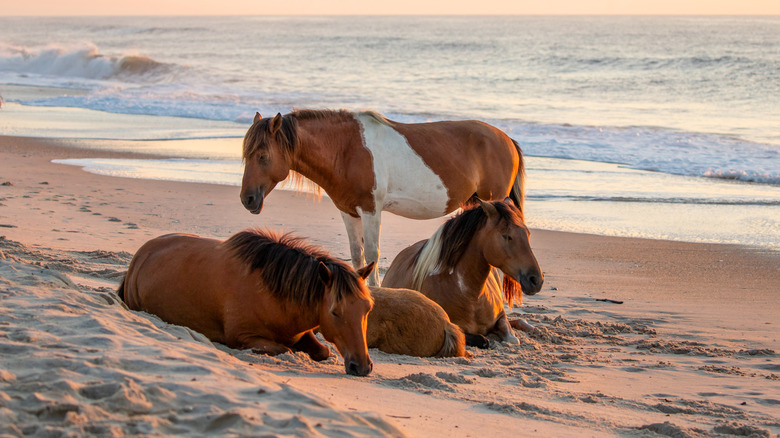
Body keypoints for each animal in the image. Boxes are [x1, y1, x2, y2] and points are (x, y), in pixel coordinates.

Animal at [118, 229, 375, 376]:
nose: (362, 367)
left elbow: (323, 350)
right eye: (335, 313)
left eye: (367, 309)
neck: (273, 293)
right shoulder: (242, 337)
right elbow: (283, 349)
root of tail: (140, 256)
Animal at [240, 109, 525, 286]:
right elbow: (357, 255)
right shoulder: (349, 211)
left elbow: (372, 254)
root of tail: (506, 139)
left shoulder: (370, 210)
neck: (347, 149)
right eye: (246, 155)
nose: (247, 200)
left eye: (263, 156)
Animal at [381, 198, 543, 348]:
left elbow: (512, 338)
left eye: (528, 234)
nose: (536, 280)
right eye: (507, 236)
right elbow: (481, 339)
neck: (471, 296)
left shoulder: (501, 317)